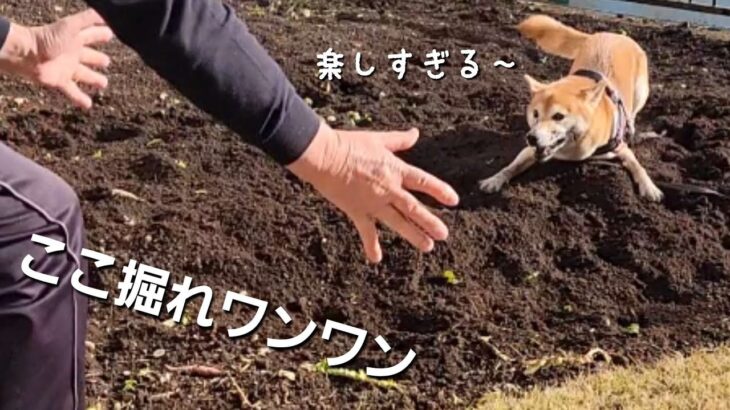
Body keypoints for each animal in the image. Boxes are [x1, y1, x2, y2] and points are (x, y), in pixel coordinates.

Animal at [474, 15, 664, 201]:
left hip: (641, 92)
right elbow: (511, 166)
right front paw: (495, 179)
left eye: (558, 116)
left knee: (633, 113)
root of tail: (613, 34)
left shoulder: (621, 148)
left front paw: (649, 186)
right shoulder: (531, 150)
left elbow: (638, 166)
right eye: (535, 114)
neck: (572, 149)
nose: (532, 138)